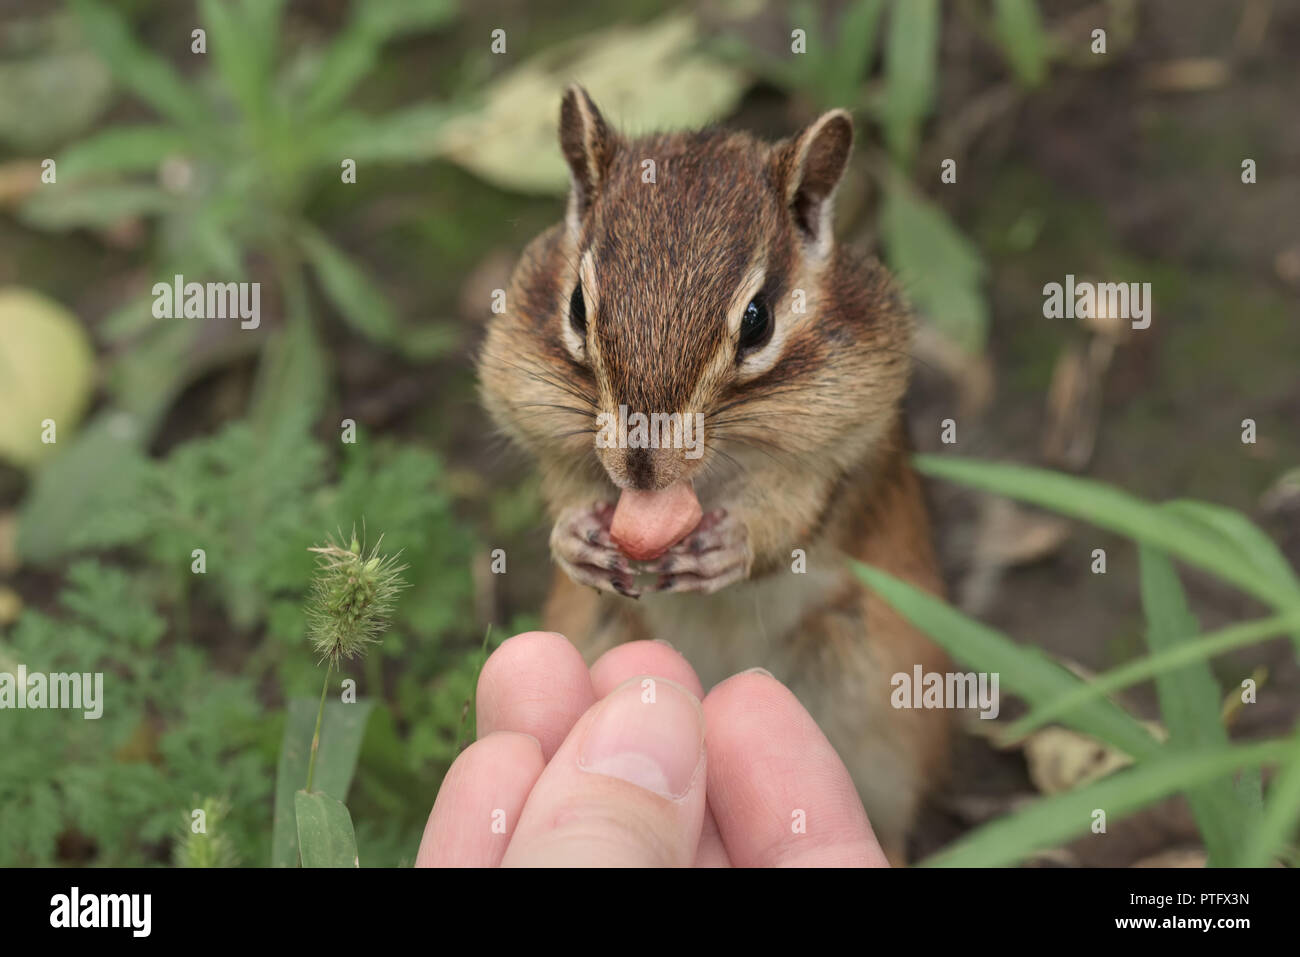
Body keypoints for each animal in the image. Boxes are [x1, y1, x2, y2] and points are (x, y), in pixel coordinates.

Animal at [478, 86, 951, 862]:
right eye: (575, 305)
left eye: (757, 320)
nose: (639, 469)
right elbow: (561, 484)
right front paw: (574, 539)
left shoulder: (846, 441)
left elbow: (799, 514)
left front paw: (731, 546)